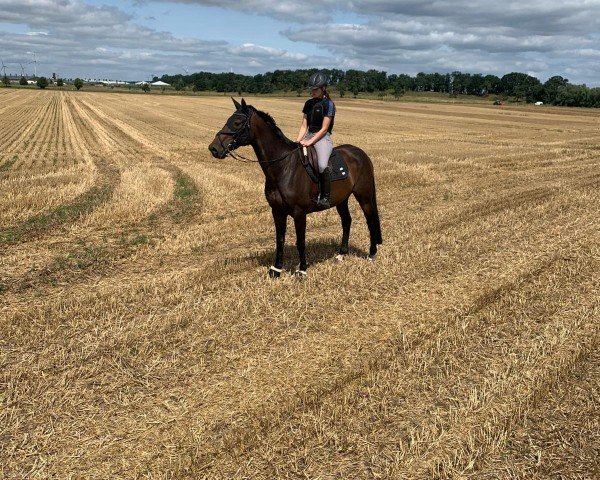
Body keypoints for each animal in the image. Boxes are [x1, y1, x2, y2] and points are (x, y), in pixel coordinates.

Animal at [209, 97, 382, 278]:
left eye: (236, 123)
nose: (213, 148)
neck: (284, 166)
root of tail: (360, 153)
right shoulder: (277, 211)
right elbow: (280, 239)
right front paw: (276, 269)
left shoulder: (299, 213)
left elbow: (300, 241)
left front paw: (302, 269)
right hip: (342, 199)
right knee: (347, 220)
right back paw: (341, 254)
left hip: (364, 195)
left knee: (370, 220)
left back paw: (371, 254)